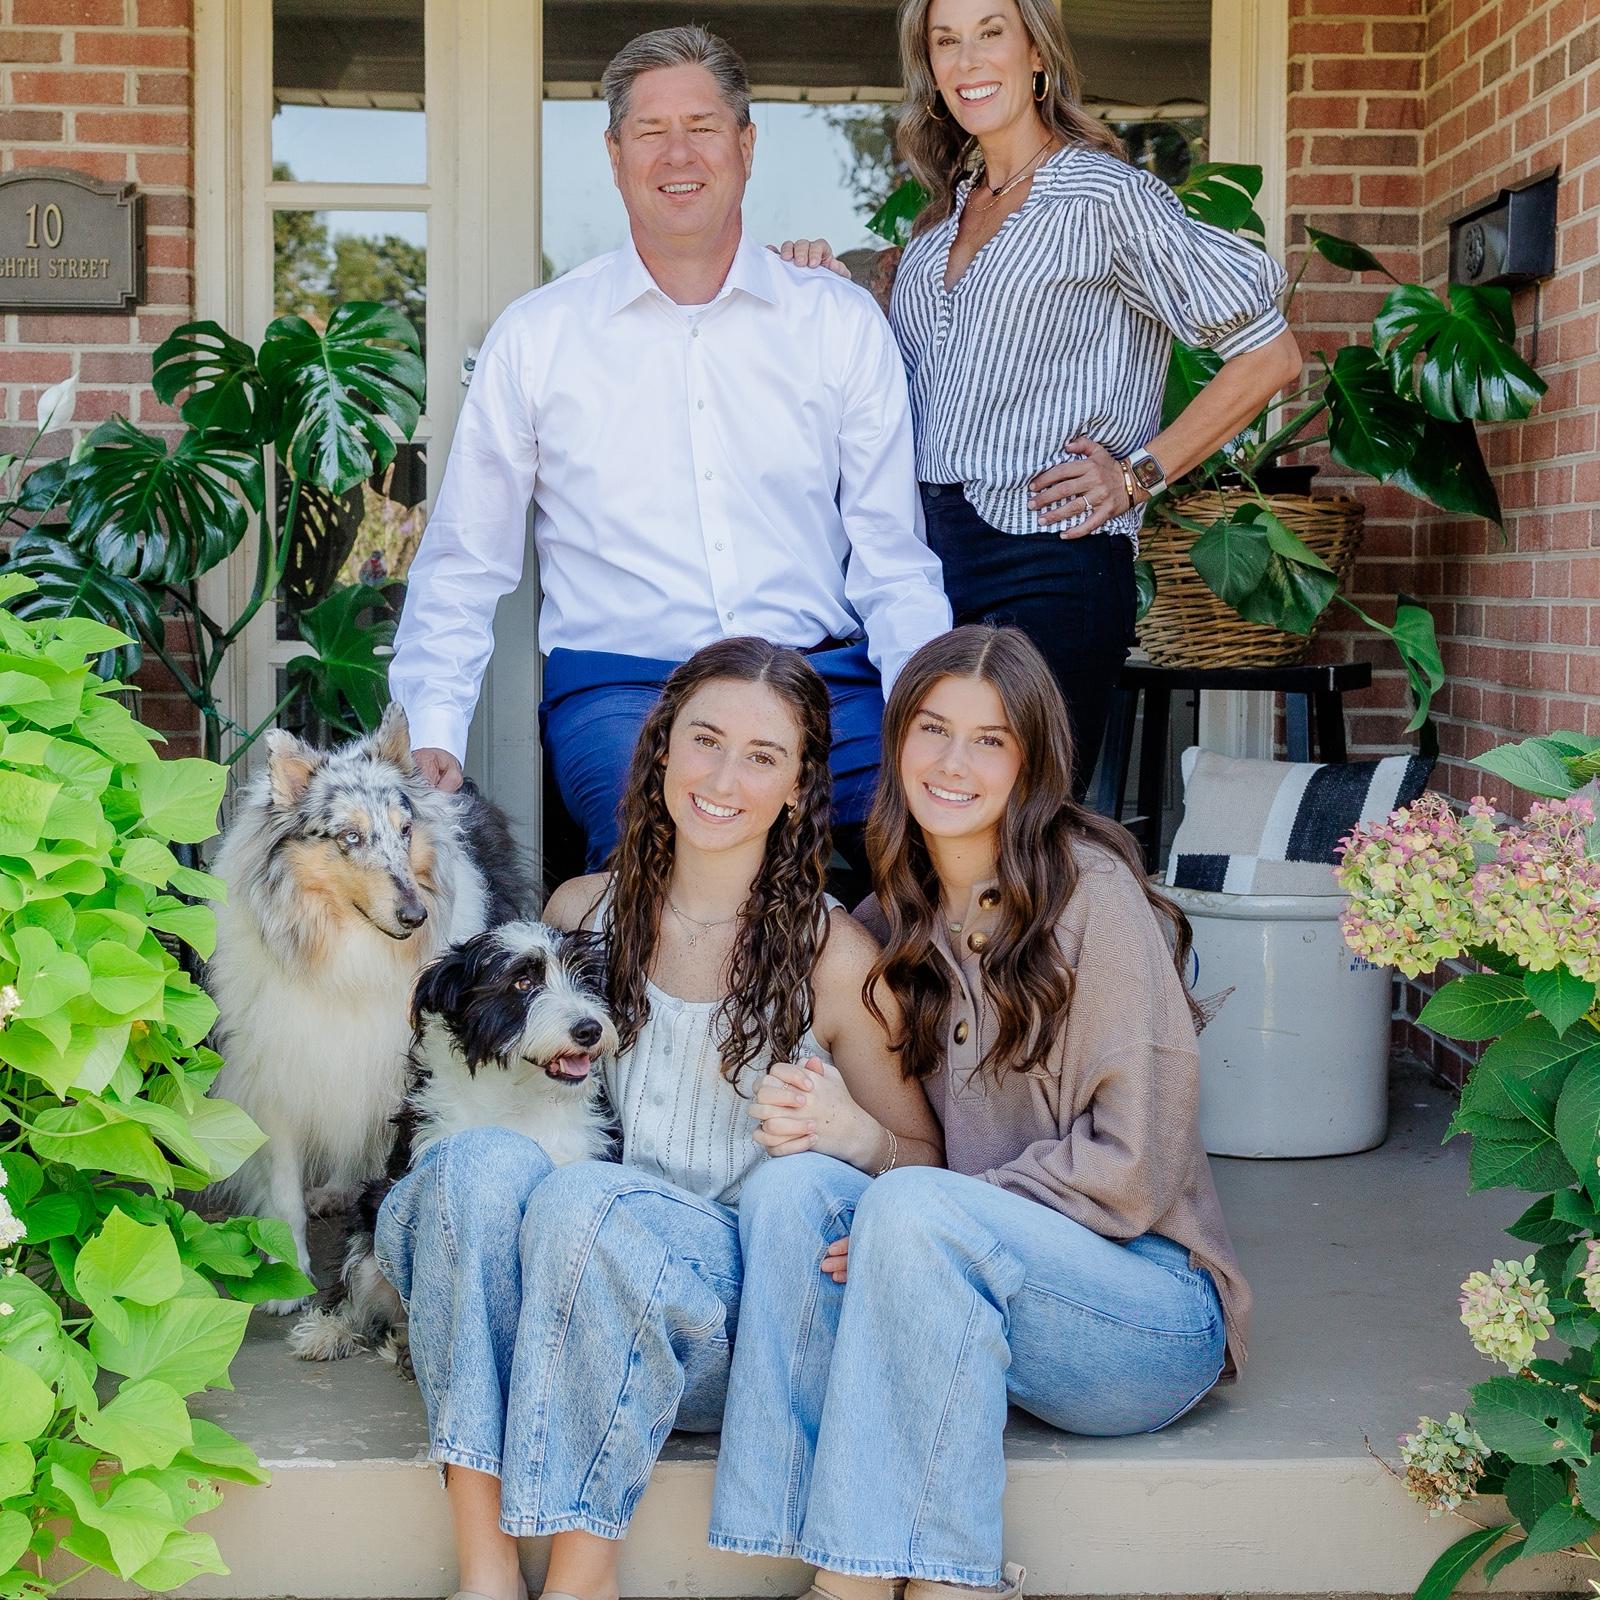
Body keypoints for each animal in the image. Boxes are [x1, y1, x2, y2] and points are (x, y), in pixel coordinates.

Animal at [207, 703, 534, 1313]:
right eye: (350, 837)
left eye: (405, 831)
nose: (415, 915)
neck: (350, 951)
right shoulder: (277, 1070)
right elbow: (283, 1186)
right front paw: (287, 1278)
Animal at [287, 921, 617, 1364]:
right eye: (523, 981)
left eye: (584, 977)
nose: (589, 1029)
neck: (517, 1100)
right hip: (371, 1228)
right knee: (359, 1287)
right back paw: (332, 1331)